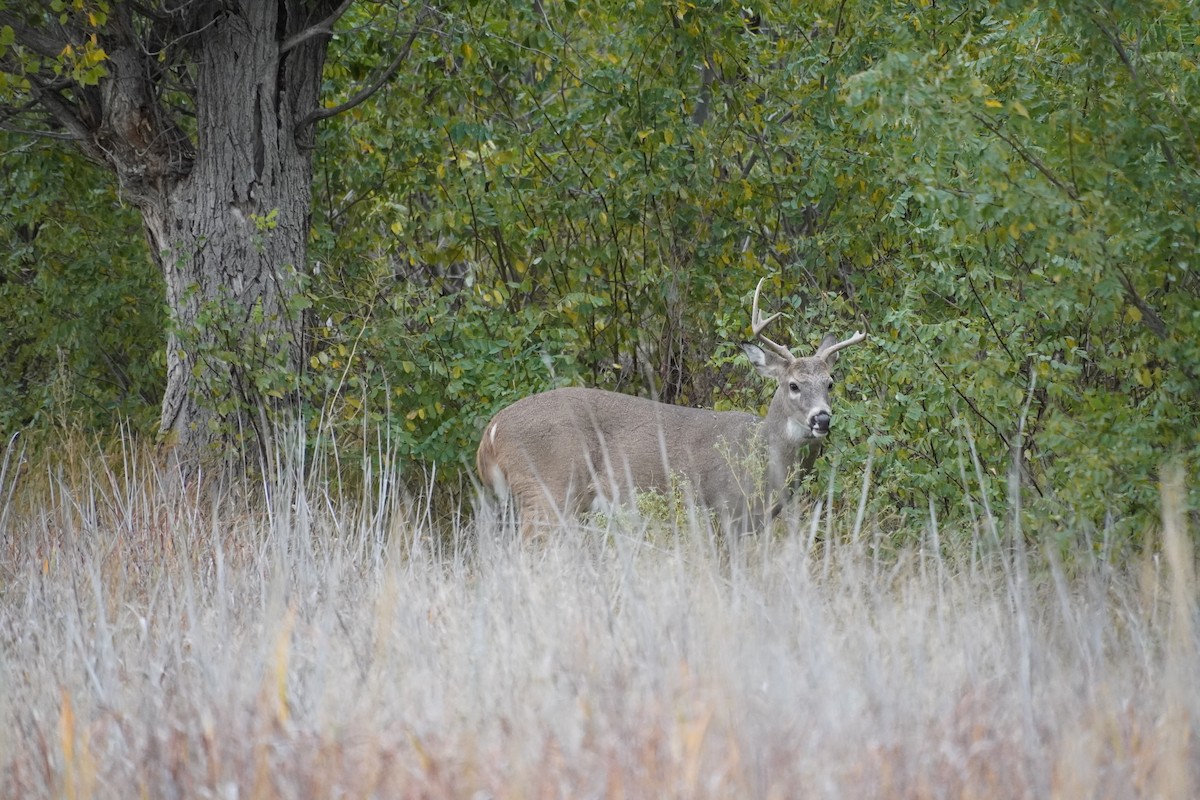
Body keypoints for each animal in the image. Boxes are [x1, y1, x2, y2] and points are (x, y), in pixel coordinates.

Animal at [475, 278, 866, 537]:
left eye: (830, 383)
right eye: (793, 385)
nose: (822, 418)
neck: (763, 454)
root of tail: (491, 433)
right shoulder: (726, 509)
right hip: (548, 489)